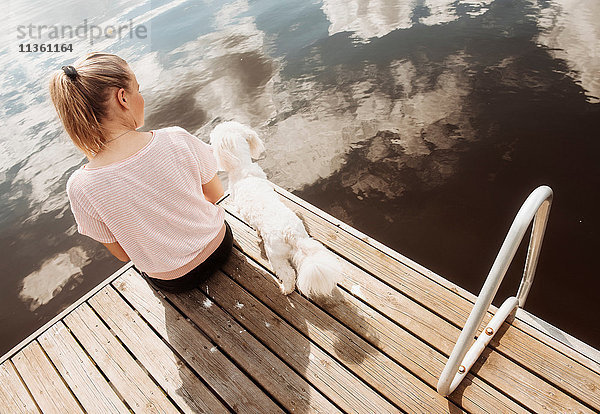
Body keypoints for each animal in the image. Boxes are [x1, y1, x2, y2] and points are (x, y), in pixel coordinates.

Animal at [211, 121, 342, 296]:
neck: (242, 167)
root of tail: (290, 234)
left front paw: (257, 232)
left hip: (275, 255)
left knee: (288, 274)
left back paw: (286, 289)